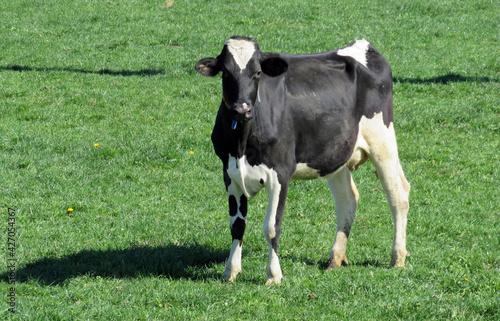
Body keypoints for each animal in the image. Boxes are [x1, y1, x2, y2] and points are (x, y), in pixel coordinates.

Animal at [195, 35, 410, 284]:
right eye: (226, 73)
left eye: (257, 72)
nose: (241, 109)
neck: (242, 141)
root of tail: (363, 46)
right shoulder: (230, 173)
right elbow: (237, 225)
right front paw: (230, 271)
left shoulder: (280, 173)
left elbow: (272, 227)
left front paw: (273, 275)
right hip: (335, 153)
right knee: (347, 200)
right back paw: (335, 259)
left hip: (382, 142)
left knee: (398, 195)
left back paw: (397, 258)